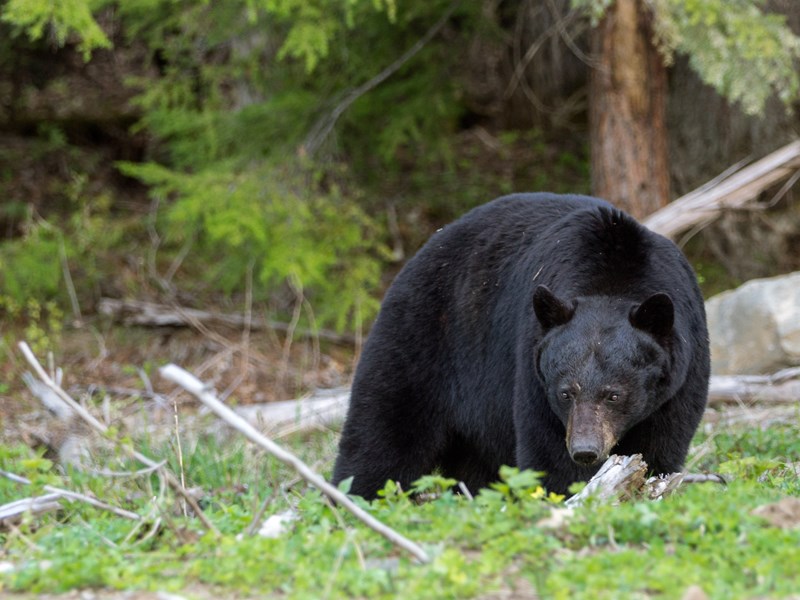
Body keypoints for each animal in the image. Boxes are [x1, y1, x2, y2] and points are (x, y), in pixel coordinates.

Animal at [334, 192, 708, 496]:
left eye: (614, 394)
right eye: (565, 393)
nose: (585, 450)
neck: (612, 279)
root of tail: (427, 246)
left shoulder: (679, 380)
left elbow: (660, 448)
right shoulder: (532, 371)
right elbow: (548, 455)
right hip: (423, 336)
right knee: (382, 430)